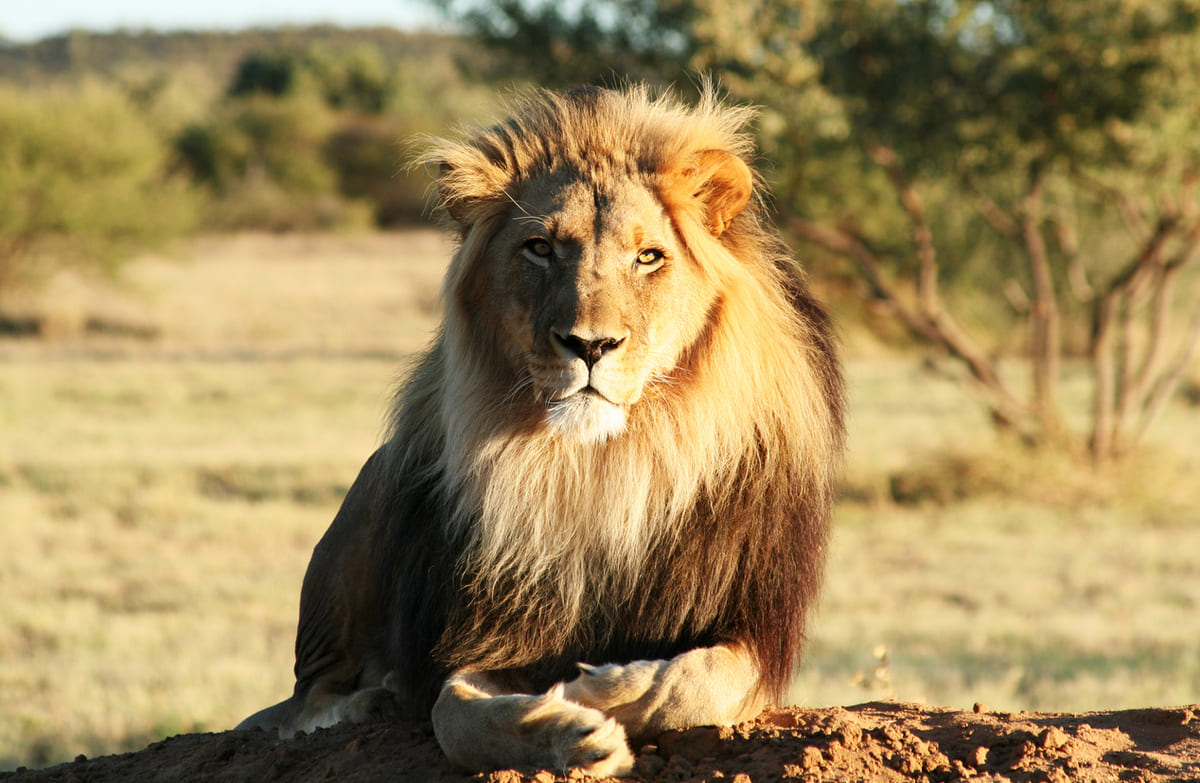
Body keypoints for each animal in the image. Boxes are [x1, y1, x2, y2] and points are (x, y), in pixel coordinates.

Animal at [237, 84, 844, 776]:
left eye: (648, 257)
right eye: (541, 248)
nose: (590, 345)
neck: (606, 466)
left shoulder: (755, 629)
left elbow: (695, 683)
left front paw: (601, 690)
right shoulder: (492, 630)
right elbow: (455, 716)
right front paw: (569, 730)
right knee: (306, 699)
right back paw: (371, 700)